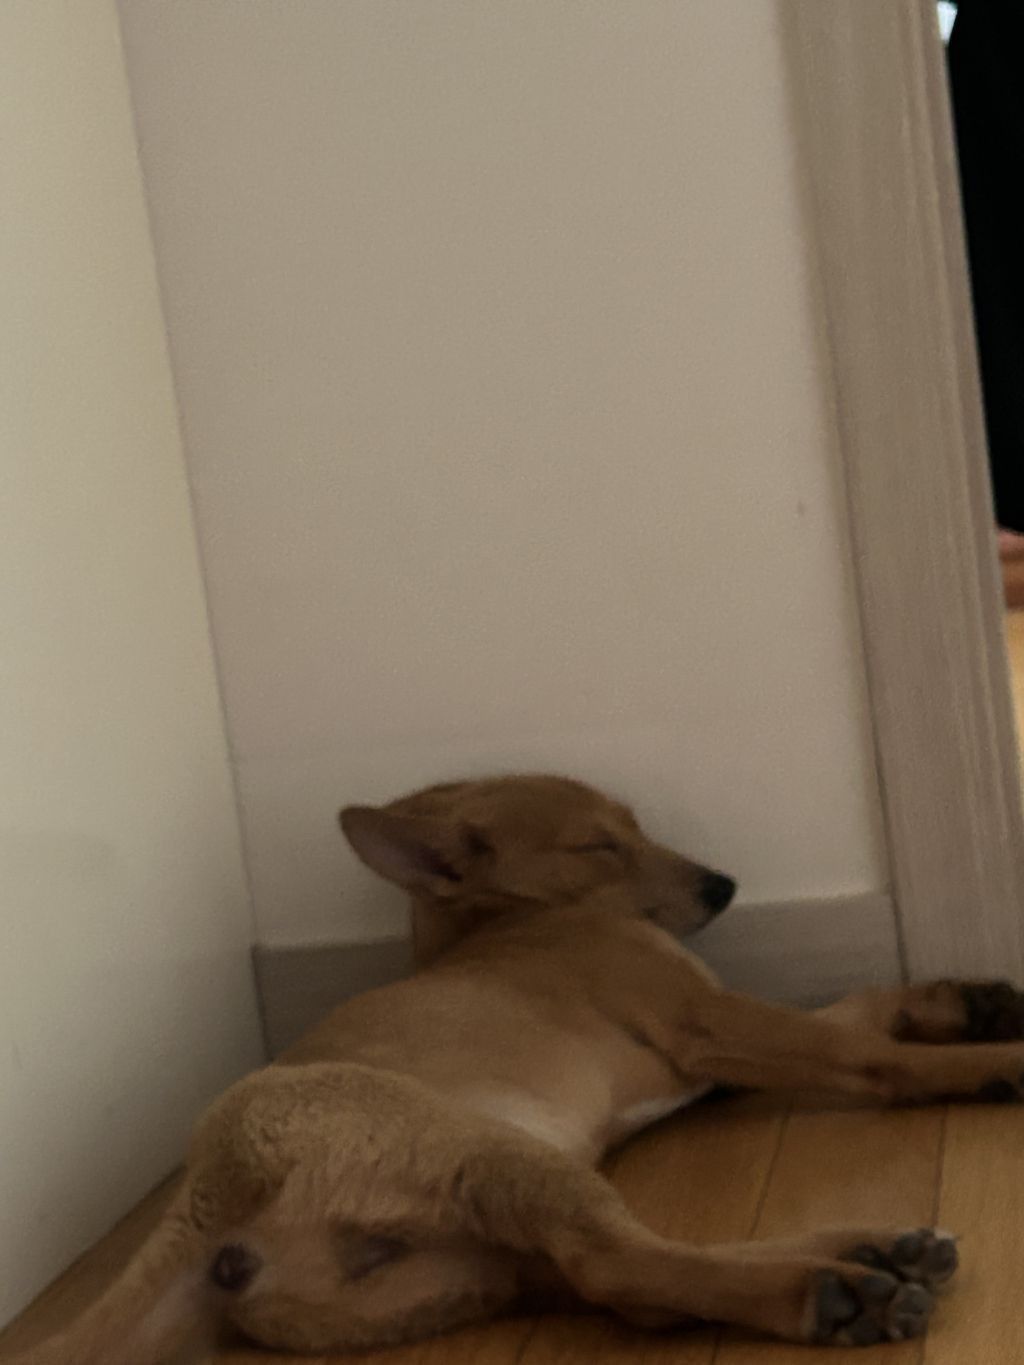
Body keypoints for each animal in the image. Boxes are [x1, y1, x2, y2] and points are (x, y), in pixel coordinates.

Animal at [12, 773, 1024, 1362]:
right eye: (600, 844)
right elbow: (865, 1051)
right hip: (490, 1155)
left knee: (631, 1285)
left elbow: (861, 1008)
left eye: (634, 827)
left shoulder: (717, 1042)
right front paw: (994, 1056)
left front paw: (964, 1002)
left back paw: (874, 1253)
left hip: (469, 1261)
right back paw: (828, 1290)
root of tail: (211, 1184)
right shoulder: (707, 1022)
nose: (724, 885)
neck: (508, 920)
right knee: (620, 1266)